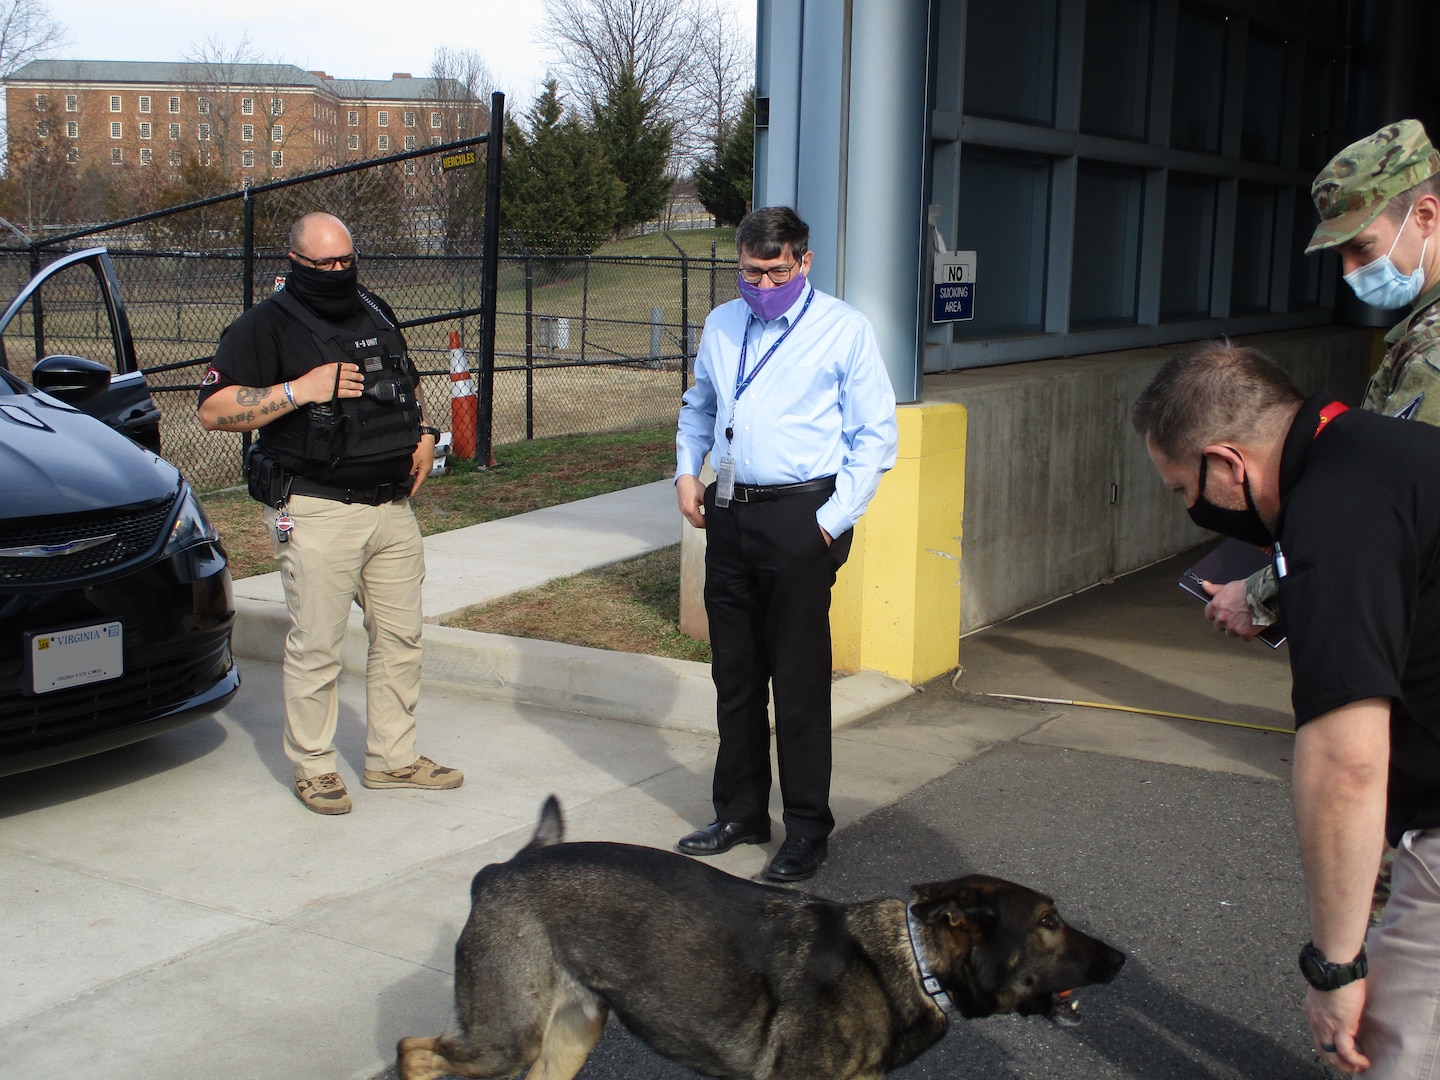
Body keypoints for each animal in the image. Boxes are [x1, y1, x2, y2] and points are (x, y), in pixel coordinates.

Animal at [400, 794, 1128, 1080]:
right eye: (1048, 923)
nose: (1123, 959)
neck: (908, 965)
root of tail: (502, 869)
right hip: (507, 1037)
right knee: (414, 1051)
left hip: (569, 1037)